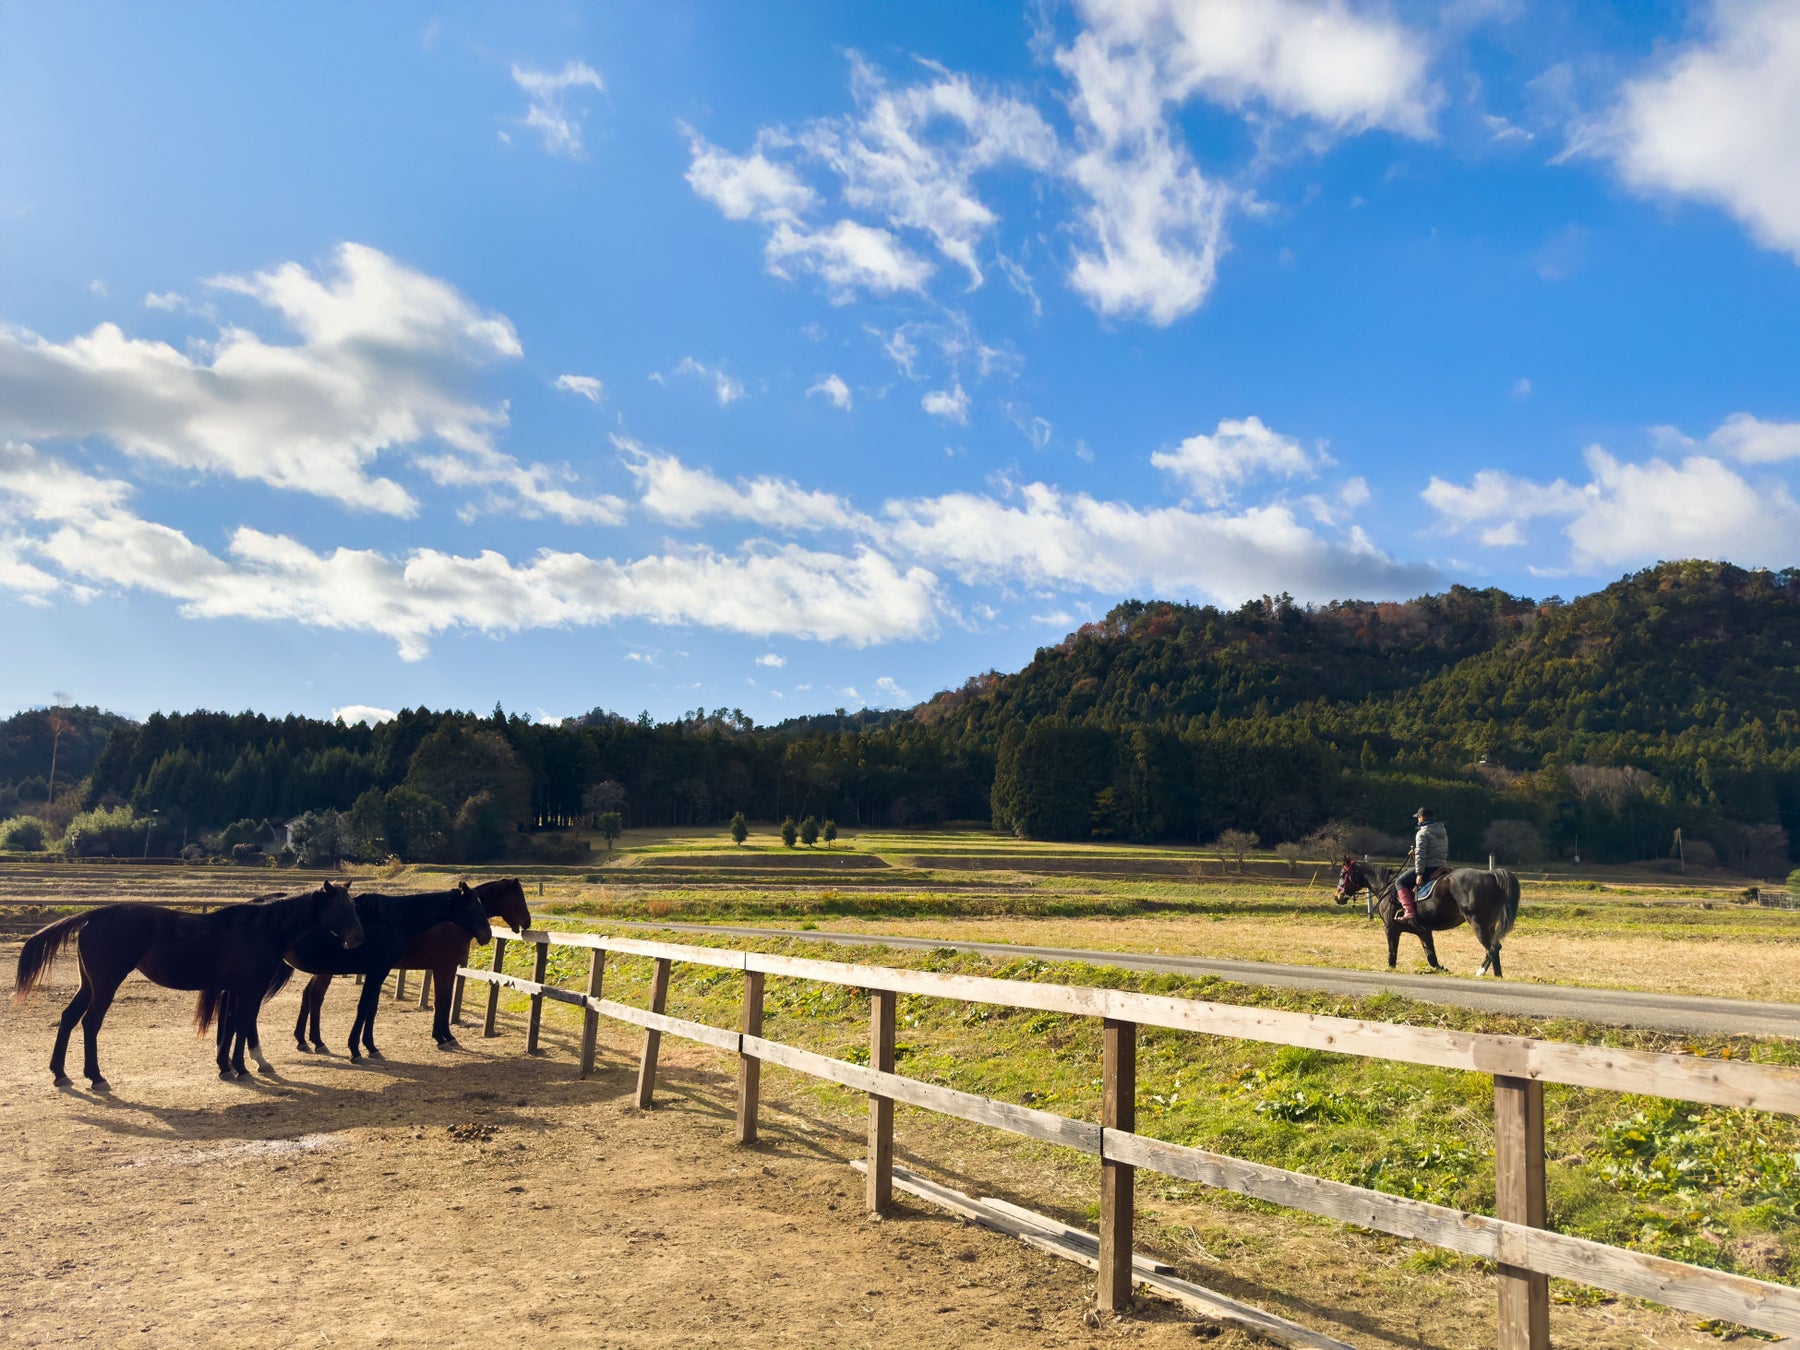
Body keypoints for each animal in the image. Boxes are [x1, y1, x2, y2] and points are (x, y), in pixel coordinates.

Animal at [11, 882, 361, 1094]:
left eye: (353, 906)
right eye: (341, 908)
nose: (357, 938)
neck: (260, 928)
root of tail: (92, 916)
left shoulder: (234, 989)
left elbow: (230, 1026)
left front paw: (226, 1067)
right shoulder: (249, 990)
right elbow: (242, 1025)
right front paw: (242, 1068)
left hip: (90, 984)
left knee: (69, 1018)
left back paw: (60, 1073)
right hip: (106, 984)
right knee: (90, 1023)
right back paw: (96, 1076)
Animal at [206, 889, 493, 1065]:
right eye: (474, 907)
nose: (487, 935)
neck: (393, 921)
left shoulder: (378, 973)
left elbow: (370, 1009)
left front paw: (368, 1046)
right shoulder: (377, 972)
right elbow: (365, 1009)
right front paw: (357, 1049)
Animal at [291, 878, 529, 1058]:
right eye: (518, 898)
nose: (527, 922)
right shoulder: (443, 968)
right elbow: (442, 1001)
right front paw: (444, 1037)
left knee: (309, 995)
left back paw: (307, 1040)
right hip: (326, 971)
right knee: (315, 997)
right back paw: (315, 1041)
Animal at [1339, 860, 1519, 979]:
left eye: (1343, 874)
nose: (1338, 896)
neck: (1387, 887)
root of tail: (1489, 874)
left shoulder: (1391, 928)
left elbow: (1392, 953)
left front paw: (1391, 969)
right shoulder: (1423, 931)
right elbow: (1431, 957)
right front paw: (1442, 969)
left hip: (1478, 924)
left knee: (1492, 948)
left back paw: (1489, 973)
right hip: (1488, 925)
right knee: (1495, 947)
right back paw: (1490, 973)